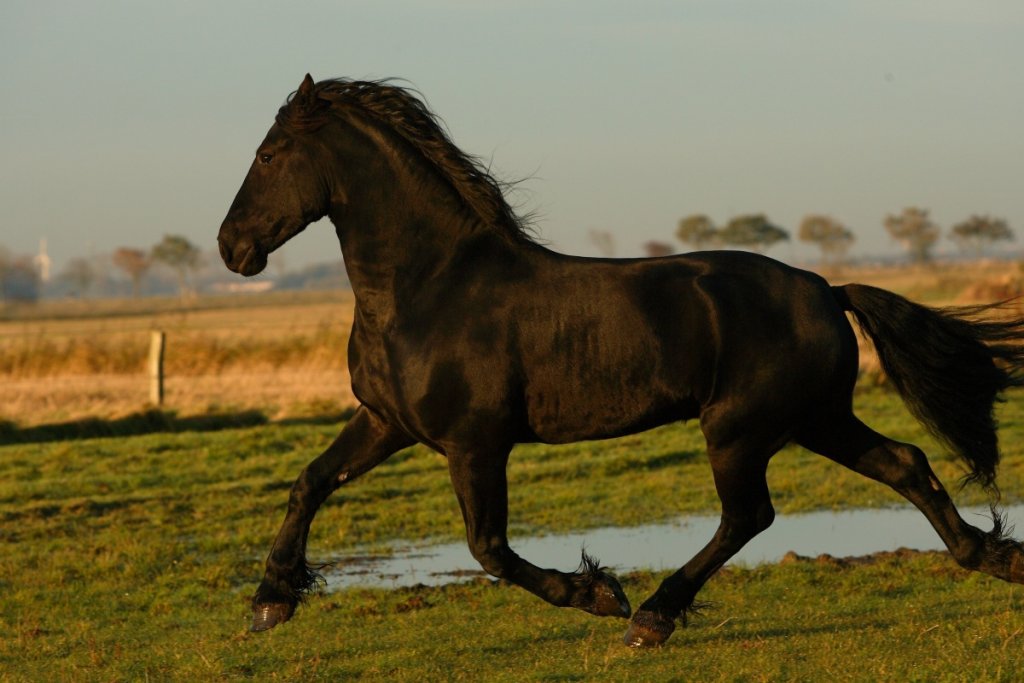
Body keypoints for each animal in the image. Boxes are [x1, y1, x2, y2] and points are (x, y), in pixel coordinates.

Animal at [218, 74, 1024, 647]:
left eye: (268, 155)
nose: (232, 248)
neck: (431, 286)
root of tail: (826, 288)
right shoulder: (386, 421)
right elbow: (310, 482)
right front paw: (270, 601)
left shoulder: (475, 443)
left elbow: (489, 548)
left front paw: (598, 593)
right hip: (815, 419)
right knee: (905, 464)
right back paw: (993, 557)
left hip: (739, 429)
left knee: (749, 515)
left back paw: (652, 617)